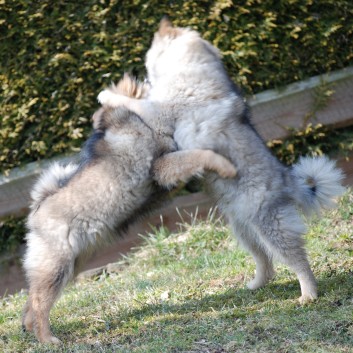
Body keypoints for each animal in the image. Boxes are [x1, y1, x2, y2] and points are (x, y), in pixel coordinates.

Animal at [22, 75, 236, 344]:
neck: (142, 118)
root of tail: (38, 207)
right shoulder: (163, 166)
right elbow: (198, 155)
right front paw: (227, 165)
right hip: (57, 266)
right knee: (39, 302)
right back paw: (47, 338)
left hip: (71, 265)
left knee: (31, 300)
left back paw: (31, 329)